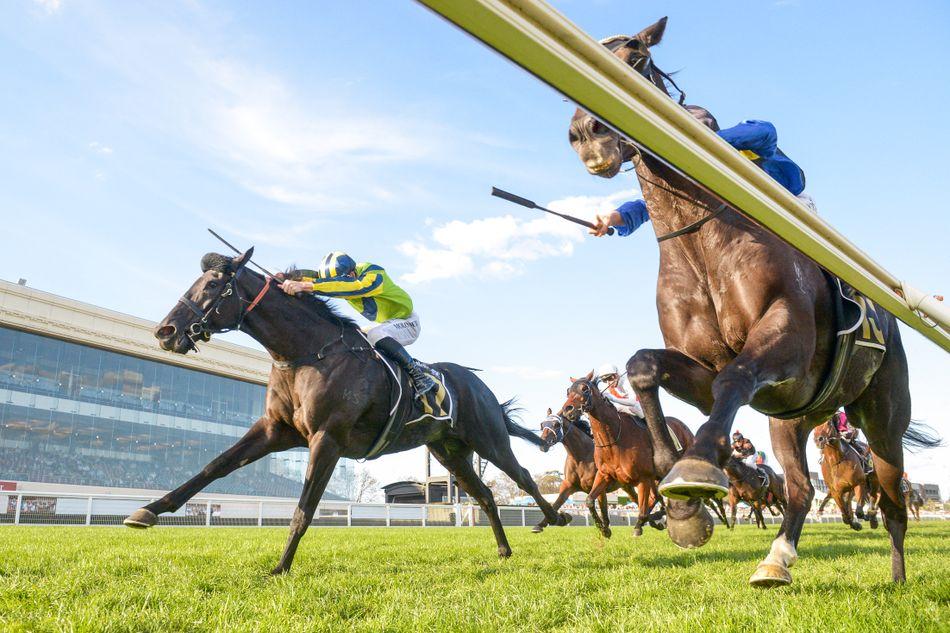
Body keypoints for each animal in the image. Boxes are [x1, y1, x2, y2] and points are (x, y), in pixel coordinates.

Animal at [126, 251, 572, 572]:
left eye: (215, 284)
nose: (165, 331)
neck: (306, 353)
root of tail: (480, 385)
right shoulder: (274, 430)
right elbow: (214, 466)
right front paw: (147, 511)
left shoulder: (327, 439)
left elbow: (304, 509)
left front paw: (280, 567)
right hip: (450, 452)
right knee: (485, 495)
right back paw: (504, 550)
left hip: (487, 438)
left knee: (524, 476)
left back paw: (554, 518)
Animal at [560, 372, 724, 536]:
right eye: (568, 391)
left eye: (584, 389)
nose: (567, 410)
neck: (614, 440)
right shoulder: (604, 474)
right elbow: (589, 500)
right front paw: (604, 528)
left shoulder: (643, 477)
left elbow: (643, 509)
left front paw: (638, 527)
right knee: (656, 497)